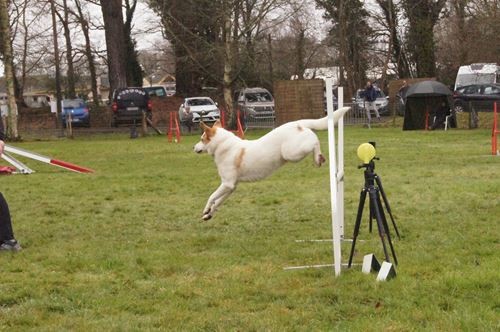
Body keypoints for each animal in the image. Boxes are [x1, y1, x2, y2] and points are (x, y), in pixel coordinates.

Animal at [193, 107, 350, 220]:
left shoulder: (227, 184)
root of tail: (297, 123)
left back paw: (318, 158)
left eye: (201, 139)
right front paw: (208, 214)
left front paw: (206, 209)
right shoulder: (231, 187)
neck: (222, 145)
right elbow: (218, 201)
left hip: (291, 153)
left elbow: (211, 197)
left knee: (314, 139)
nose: (194, 147)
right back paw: (319, 158)